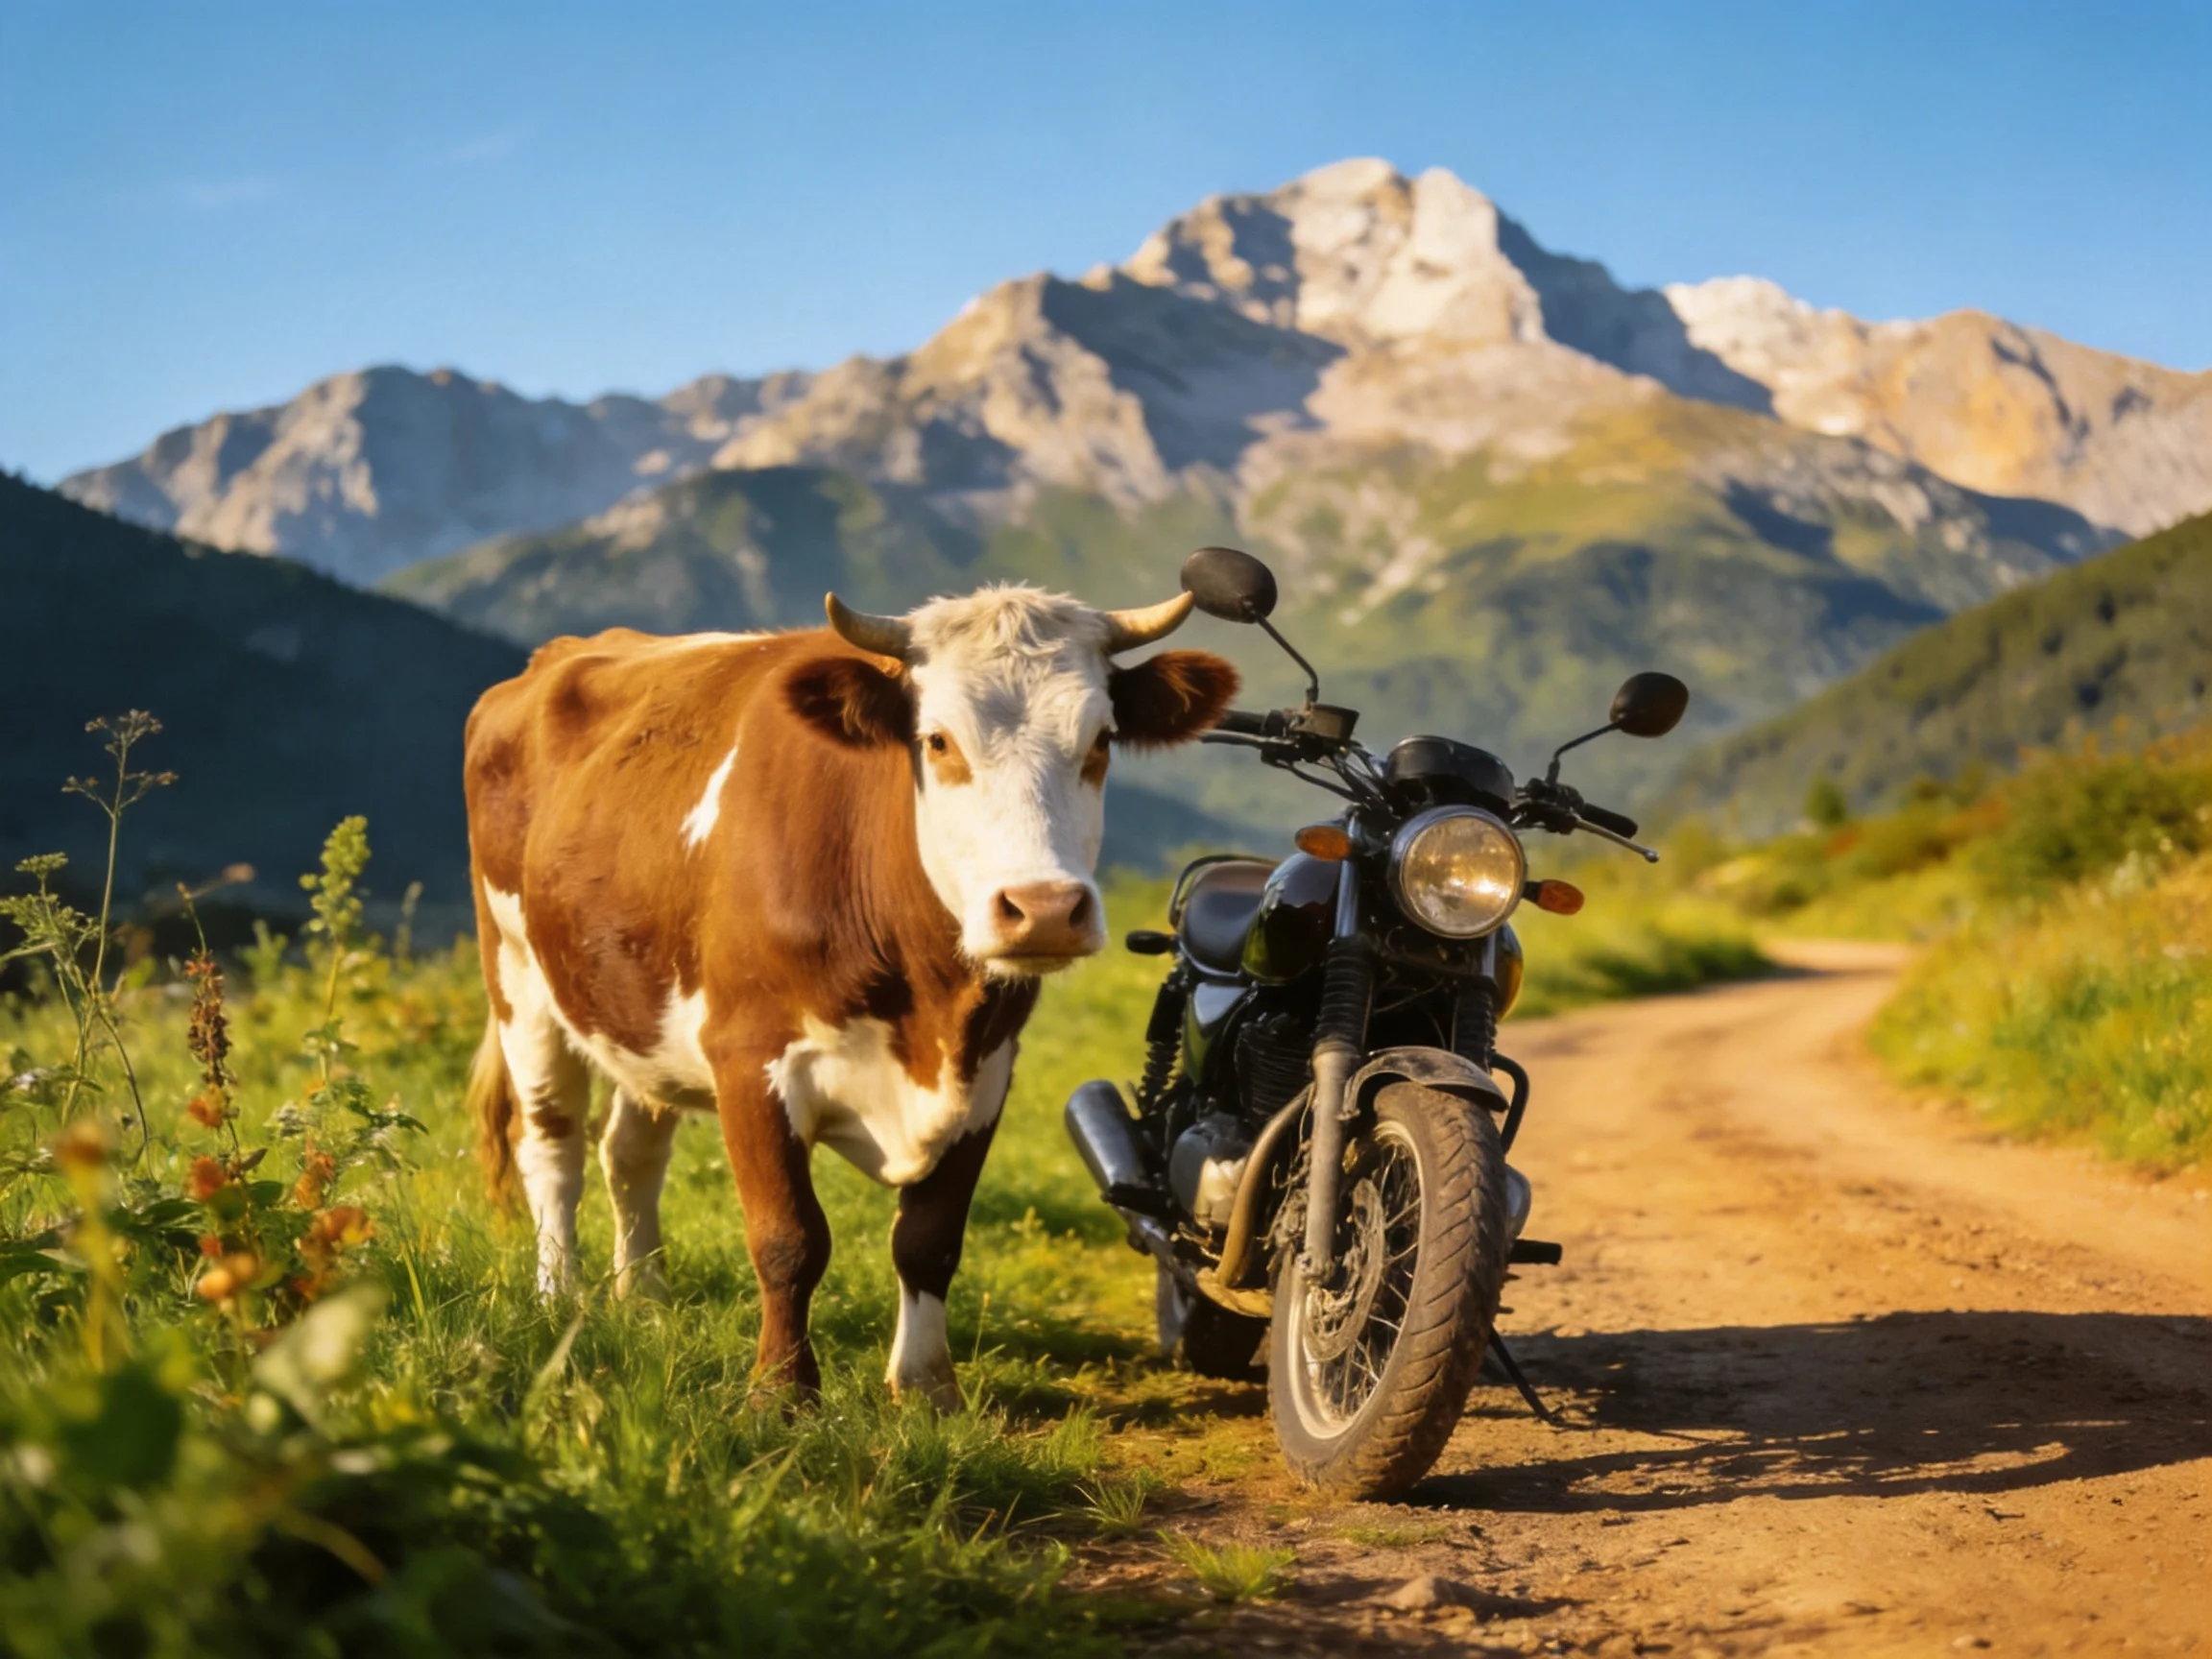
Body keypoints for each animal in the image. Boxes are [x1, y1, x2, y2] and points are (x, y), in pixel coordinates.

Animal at [462, 583, 1237, 1406]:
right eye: (937, 741)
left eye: (1100, 739)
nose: (1045, 908)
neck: (930, 1013)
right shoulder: (749, 1057)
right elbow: (788, 1238)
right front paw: (780, 1396)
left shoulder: (989, 1070)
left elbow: (930, 1241)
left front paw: (927, 1390)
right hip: (518, 976)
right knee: (553, 1147)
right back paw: (559, 1300)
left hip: (639, 1007)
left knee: (630, 1153)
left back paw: (644, 1302)